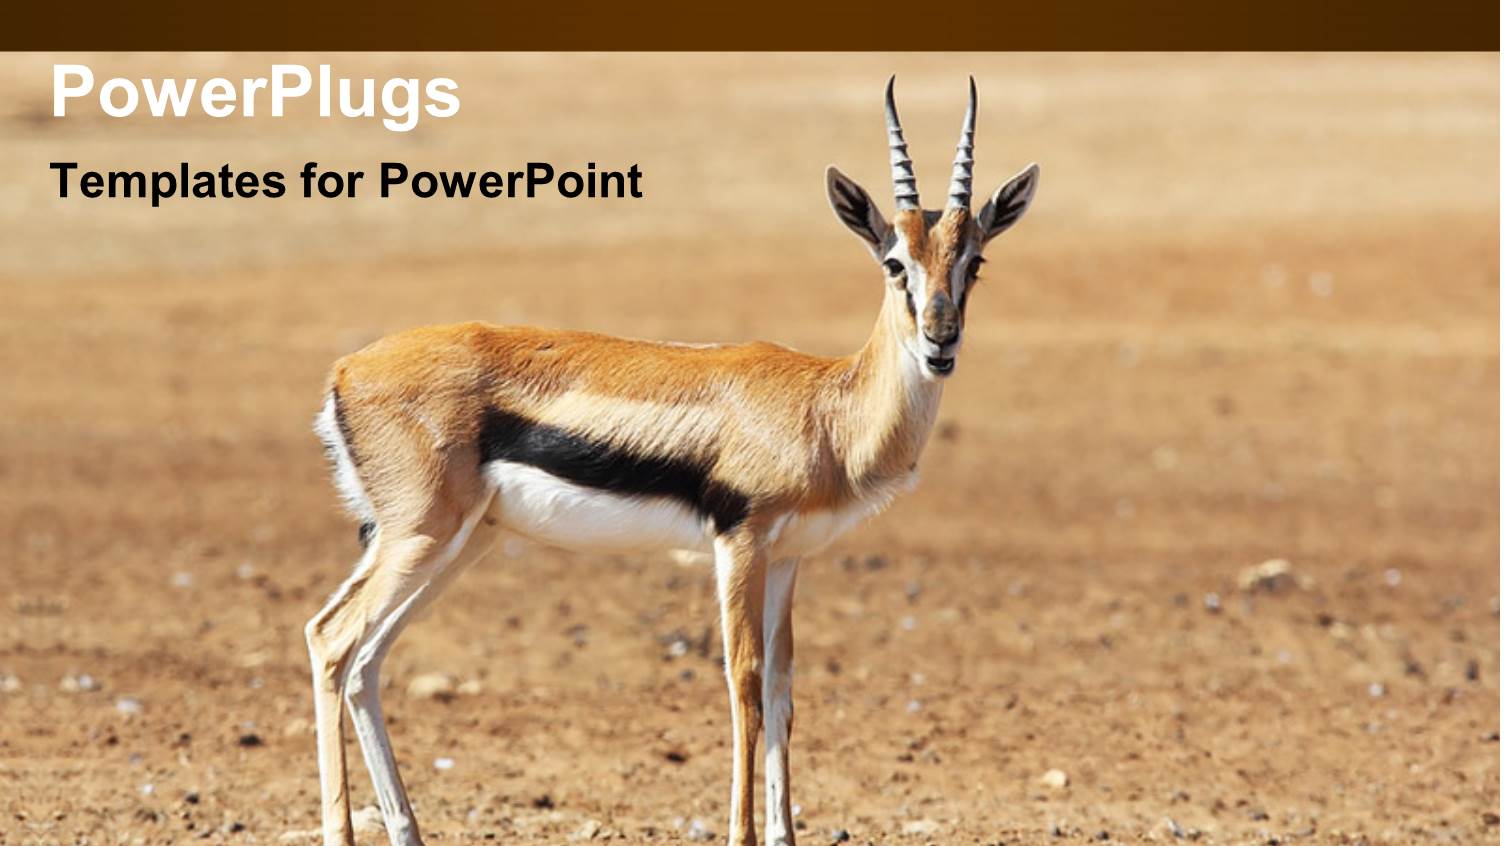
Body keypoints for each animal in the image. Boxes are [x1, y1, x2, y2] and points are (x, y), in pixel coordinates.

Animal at [305, 75, 1039, 846]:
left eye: (975, 261)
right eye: (896, 262)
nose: (940, 341)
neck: (825, 408)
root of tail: (346, 370)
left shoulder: (788, 559)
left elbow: (783, 691)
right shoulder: (739, 542)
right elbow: (744, 683)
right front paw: (742, 834)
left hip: (461, 542)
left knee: (367, 660)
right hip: (422, 536)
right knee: (331, 639)